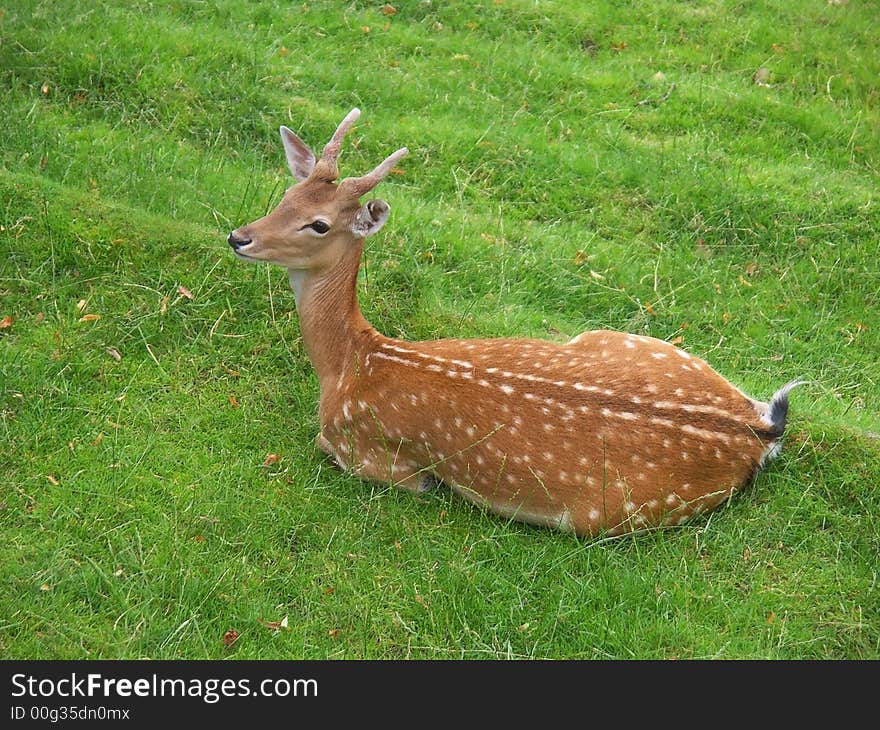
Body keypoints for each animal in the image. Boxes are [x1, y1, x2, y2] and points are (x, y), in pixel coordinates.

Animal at [229, 109, 804, 540]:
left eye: (319, 224)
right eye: (286, 196)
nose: (239, 237)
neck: (349, 364)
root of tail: (757, 429)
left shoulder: (369, 455)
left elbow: (335, 448)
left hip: (611, 514)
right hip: (627, 339)